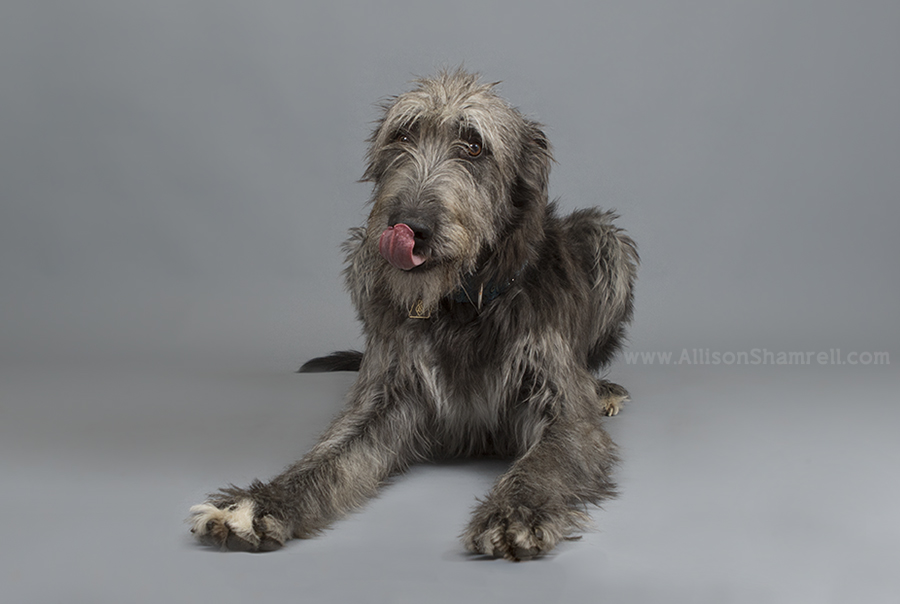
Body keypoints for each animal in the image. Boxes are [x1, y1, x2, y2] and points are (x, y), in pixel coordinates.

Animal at [190, 68, 640, 560]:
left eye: (475, 146)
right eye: (402, 135)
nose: (409, 226)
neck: (465, 304)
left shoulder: (561, 405)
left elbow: (547, 459)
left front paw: (514, 511)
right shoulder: (390, 391)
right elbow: (331, 456)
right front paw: (260, 503)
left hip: (605, 238)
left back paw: (601, 387)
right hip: (360, 254)